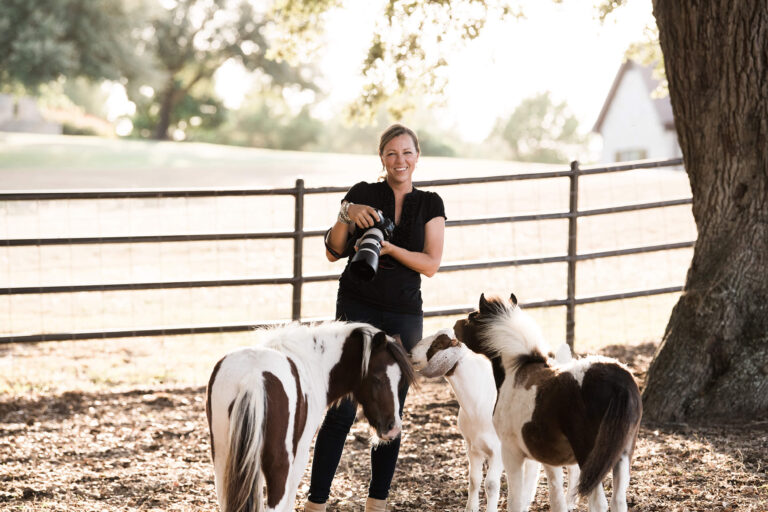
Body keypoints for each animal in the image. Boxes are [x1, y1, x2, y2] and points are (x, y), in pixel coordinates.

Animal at [456, 294, 640, 512]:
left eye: (472, 316)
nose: (456, 325)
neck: (516, 369)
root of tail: (620, 383)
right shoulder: (549, 456)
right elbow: (556, 496)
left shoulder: (510, 452)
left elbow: (515, 499)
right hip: (622, 456)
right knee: (618, 501)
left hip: (591, 458)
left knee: (598, 503)